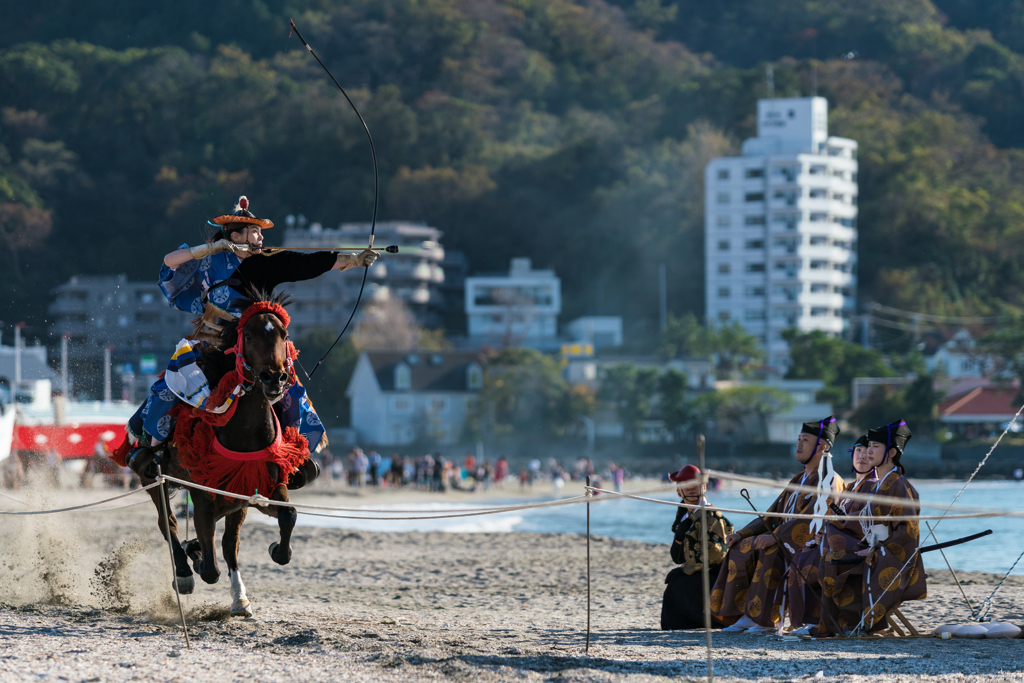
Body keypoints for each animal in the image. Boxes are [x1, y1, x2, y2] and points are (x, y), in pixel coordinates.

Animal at [135, 291, 317, 617]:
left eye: (283, 334)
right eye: (250, 335)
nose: (274, 378)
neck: (243, 430)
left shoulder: (261, 485)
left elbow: (287, 515)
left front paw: (277, 550)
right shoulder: (203, 494)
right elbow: (209, 566)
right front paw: (194, 559)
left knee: (229, 542)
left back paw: (238, 597)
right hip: (153, 476)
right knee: (168, 523)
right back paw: (184, 571)